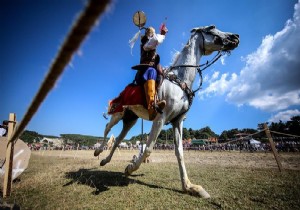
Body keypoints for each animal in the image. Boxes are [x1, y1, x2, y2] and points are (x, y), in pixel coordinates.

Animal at [94, 25, 239, 198]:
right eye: (211, 28)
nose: (235, 37)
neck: (180, 81)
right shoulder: (160, 119)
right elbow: (148, 149)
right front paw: (130, 167)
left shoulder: (177, 122)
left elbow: (180, 153)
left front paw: (189, 186)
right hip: (118, 114)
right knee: (107, 129)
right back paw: (98, 151)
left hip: (131, 120)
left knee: (117, 140)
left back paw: (105, 160)